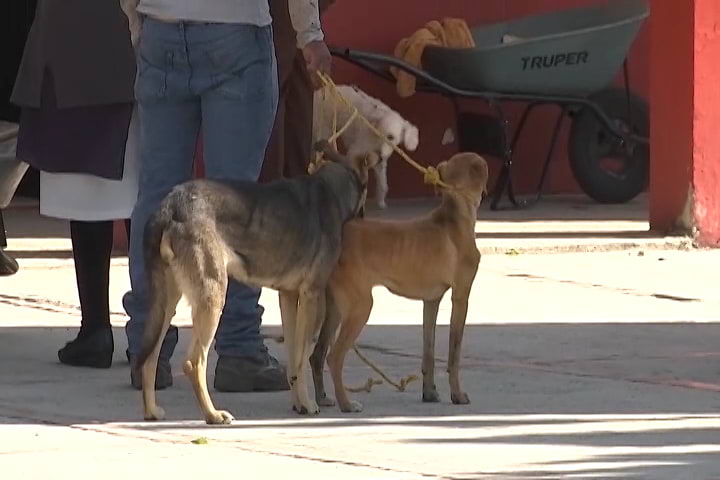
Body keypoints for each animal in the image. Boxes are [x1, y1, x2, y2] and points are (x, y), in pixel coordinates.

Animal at [136, 142, 372, 424]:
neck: (331, 188)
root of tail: (170, 206)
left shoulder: (289, 297)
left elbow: (293, 358)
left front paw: (299, 404)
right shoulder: (312, 296)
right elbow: (302, 358)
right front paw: (308, 404)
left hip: (167, 302)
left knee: (149, 357)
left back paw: (151, 411)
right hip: (213, 297)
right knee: (193, 363)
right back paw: (213, 414)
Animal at [310, 152, 490, 410]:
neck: (454, 215)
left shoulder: (431, 301)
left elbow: (429, 351)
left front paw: (429, 392)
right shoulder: (461, 298)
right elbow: (453, 355)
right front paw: (457, 395)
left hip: (334, 309)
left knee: (317, 355)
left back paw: (323, 398)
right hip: (360, 307)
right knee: (334, 357)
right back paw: (347, 404)